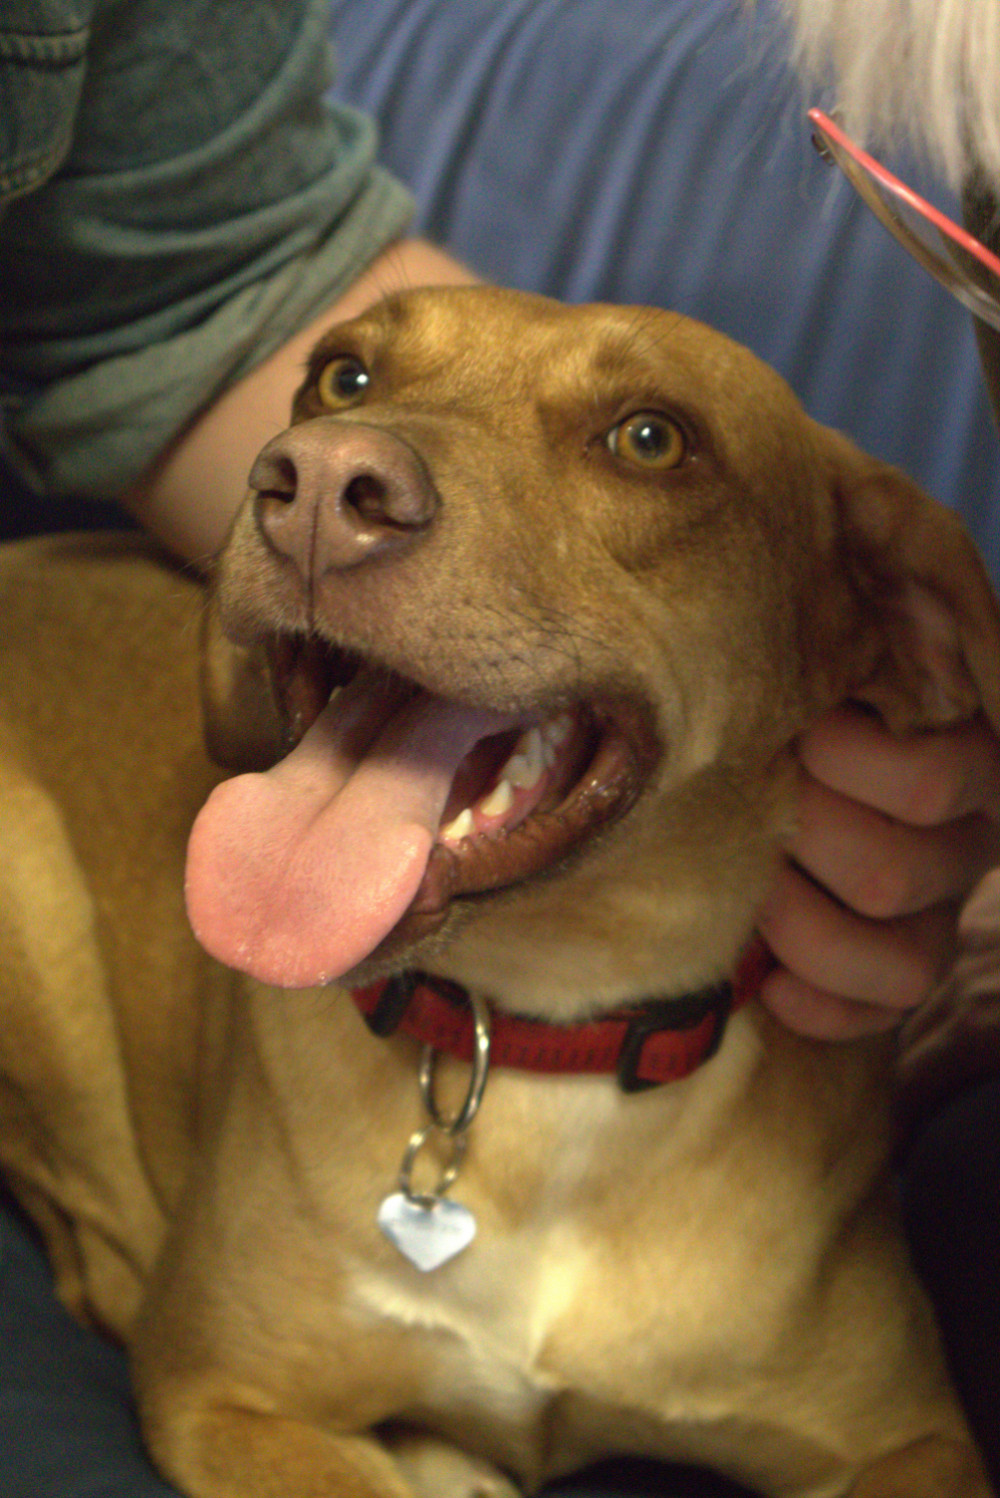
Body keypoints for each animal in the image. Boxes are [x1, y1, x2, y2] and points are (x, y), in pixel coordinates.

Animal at [1, 286, 997, 1498]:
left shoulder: (913, 1440)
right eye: (343, 377)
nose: (319, 484)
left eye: (651, 438)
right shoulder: (222, 1393)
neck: (545, 1041)